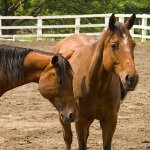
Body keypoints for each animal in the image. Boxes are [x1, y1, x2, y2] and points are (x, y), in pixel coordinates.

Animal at [53, 13, 139, 149]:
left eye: (133, 44)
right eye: (113, 45)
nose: (132, 78)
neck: (96, 85)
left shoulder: (110, 121)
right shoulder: (80, 121)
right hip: (64, 114)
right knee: (67, 138)